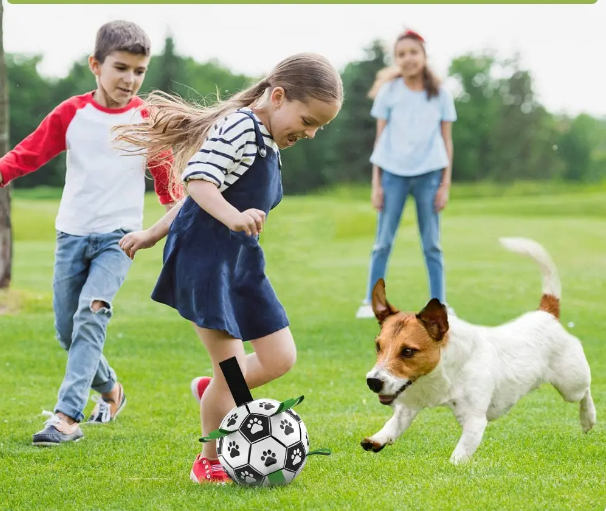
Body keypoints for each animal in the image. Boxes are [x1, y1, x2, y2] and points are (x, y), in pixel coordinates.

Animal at [364, 238, 596, 466]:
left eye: (408, 351)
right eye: (378, 346)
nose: (372, 381)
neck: (439, 375)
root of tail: (545, 314)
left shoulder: (474, 421)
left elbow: (459, 455)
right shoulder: (409, 404)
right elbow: (394, 424)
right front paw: (377, 439)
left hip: (571, 384)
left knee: (585, 391)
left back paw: (588, 418)